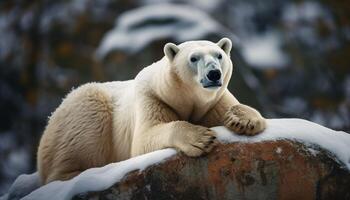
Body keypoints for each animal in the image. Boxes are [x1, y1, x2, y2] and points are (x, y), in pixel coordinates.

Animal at [37, 38, 266, 184]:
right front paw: (201, 138)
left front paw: (245, 120)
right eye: (193, 58)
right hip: (83, 108)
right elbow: (144, 139)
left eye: (219, 55)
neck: (185, 98)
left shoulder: (214, 102)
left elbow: (233, 108)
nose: (214, 74)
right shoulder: (153, 98)